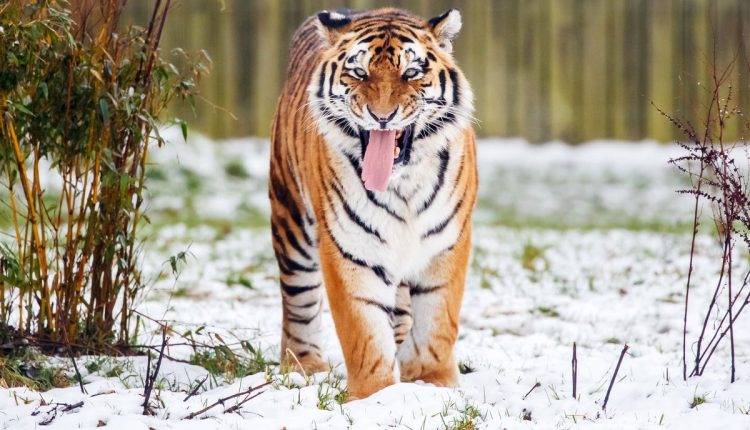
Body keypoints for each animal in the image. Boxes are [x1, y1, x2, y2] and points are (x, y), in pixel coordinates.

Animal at [269, 7, 477, 400]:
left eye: (411, 73)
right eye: (359, 72)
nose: (382, 116)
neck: (403, 182)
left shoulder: (447, 243)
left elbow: (438, 321)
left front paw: (434, 382)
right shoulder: (350, 247)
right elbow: (364, 332)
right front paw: (376, 397)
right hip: (291, 221)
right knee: (298, 300)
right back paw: (304, 366)